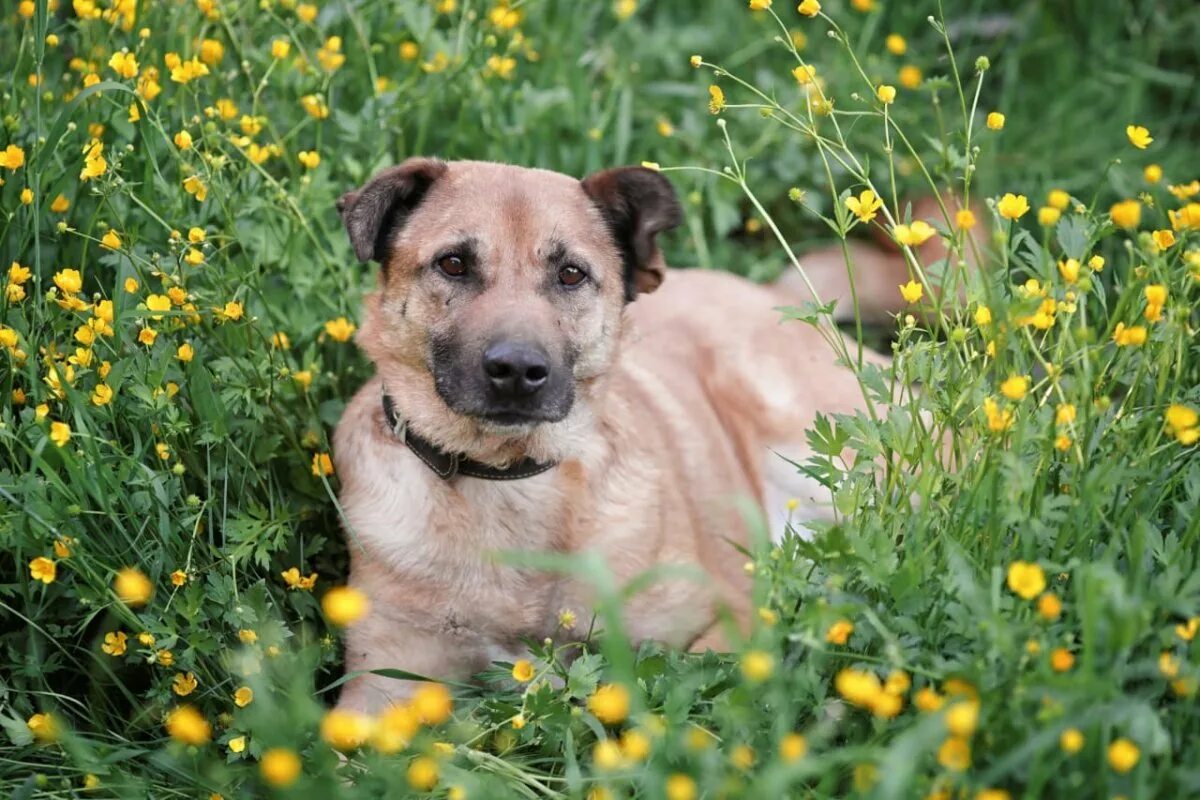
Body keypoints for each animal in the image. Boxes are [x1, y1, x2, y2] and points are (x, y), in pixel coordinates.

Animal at [326, 159, 902, 710]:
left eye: (571, 274)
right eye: (453, 264)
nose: (517, 370)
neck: (507, 478)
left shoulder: (724, 621)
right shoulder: (382, 685)